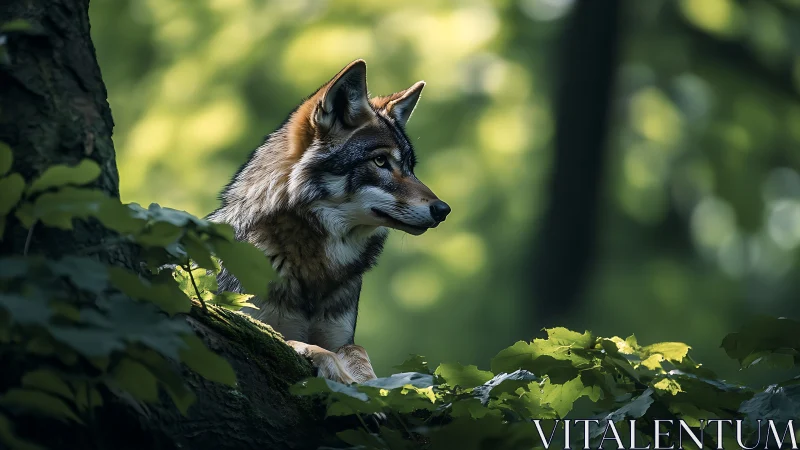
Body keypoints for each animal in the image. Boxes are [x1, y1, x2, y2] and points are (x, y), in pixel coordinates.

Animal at [208, 60, 450, 384]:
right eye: (380, 161)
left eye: (410, 168)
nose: (443, 209)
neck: (314, 269)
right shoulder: (245, 323)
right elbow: (296, 341)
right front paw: (335, 369)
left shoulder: (342, 337)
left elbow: (357, 351)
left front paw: (366, 379)